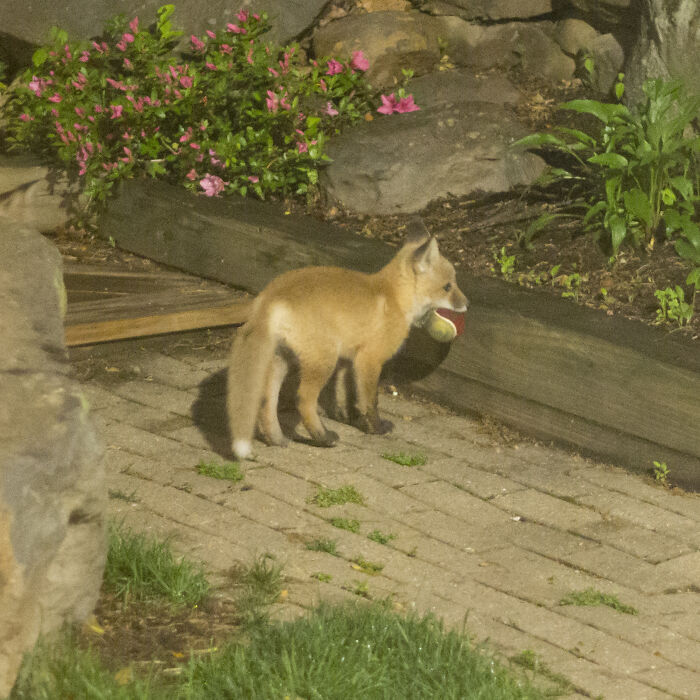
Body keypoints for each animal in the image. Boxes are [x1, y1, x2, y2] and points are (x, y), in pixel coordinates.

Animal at [227, 219, 468, 460]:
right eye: (448, 287)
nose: (467, 304)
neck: (394, 298)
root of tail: (270, 295)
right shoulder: (368, 359)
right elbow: (370, 401)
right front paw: (376, 428)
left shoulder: (347, 361)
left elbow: (345, 397)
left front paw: (348, 418)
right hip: (323, 361)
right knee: (303, 400)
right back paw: (323, 437)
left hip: (282, 360)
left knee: (267, 401)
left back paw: (276, 439)